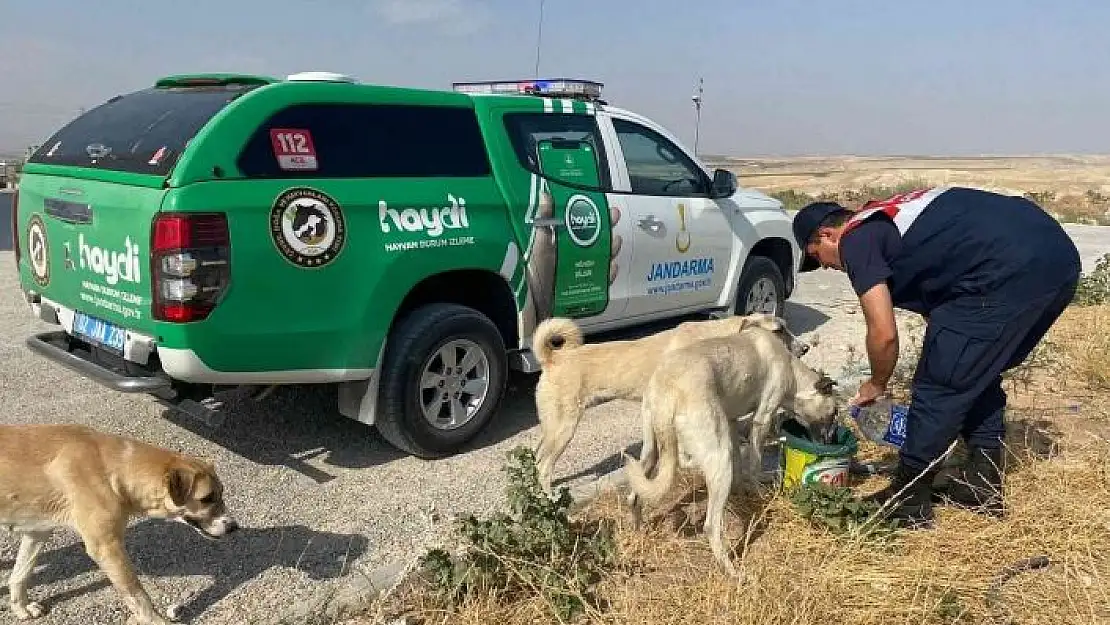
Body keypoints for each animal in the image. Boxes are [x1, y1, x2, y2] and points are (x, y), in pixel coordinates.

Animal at [1, 424, 236, 621]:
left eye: (222, 493)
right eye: (206, 498)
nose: (234, 527)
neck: (114, 468)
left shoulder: (37, 531)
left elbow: (21, 573)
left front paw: (20, 607)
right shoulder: (107, 547)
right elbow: (138, 594)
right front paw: (155, 620)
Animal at [528, 315, 808, 490]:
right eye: (779, 330)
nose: (805, 348)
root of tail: (553, 359)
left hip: (552, 427)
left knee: (537, 456)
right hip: (564, 428)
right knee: (544, 466)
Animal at [626, 326, 834, 581]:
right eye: (833, 413)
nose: (829, 441)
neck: (792, 370)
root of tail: (668, 389)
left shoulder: (733, 423)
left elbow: (740, 461)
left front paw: (741, 486)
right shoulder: (762, 419)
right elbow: (753, 464)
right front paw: (759, 491)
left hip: (652, 451)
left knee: (636, 495)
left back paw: (638, 531)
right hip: (718, 456)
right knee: (709, 524)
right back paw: (732, 572)